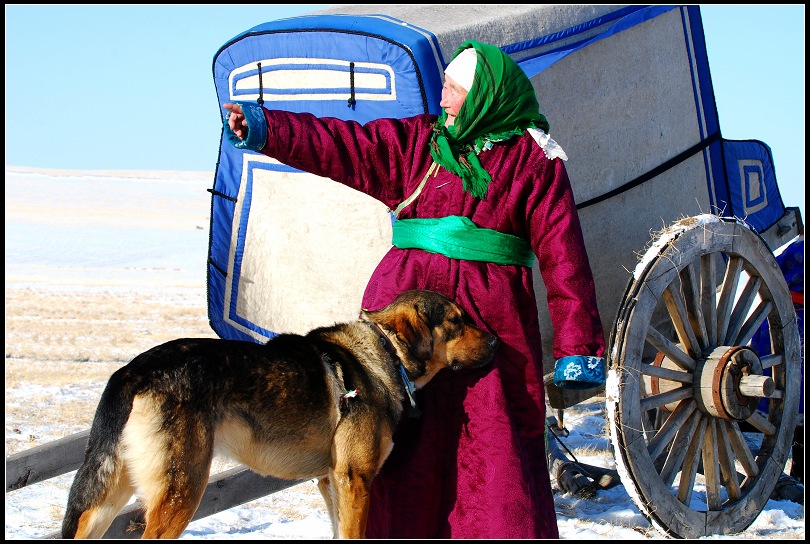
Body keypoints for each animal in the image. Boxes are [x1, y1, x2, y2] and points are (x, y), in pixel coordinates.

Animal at [60, 292, 496, 536]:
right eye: (456, 321)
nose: (495, 341)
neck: (385, 351)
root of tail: (132, 371)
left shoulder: (329, 481)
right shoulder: (354, 480)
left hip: (107, 499)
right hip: (182, 491)